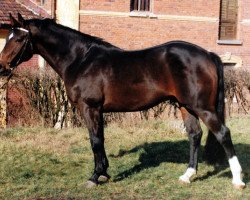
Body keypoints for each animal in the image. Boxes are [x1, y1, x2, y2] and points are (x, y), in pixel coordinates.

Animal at [0, 13, 246, 188]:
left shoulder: (90, 108)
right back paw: (187, 175)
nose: (2, 67)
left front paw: (95, 176)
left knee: (223, 133)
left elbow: (95, 140)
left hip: (202, 107)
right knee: (194, 135)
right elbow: (100, 139)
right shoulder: (98, 111)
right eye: (9, 36)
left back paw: (238, 180)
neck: (81, 59)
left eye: (19, 38)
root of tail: (207, 54)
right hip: (186, 106)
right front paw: (104, 173)